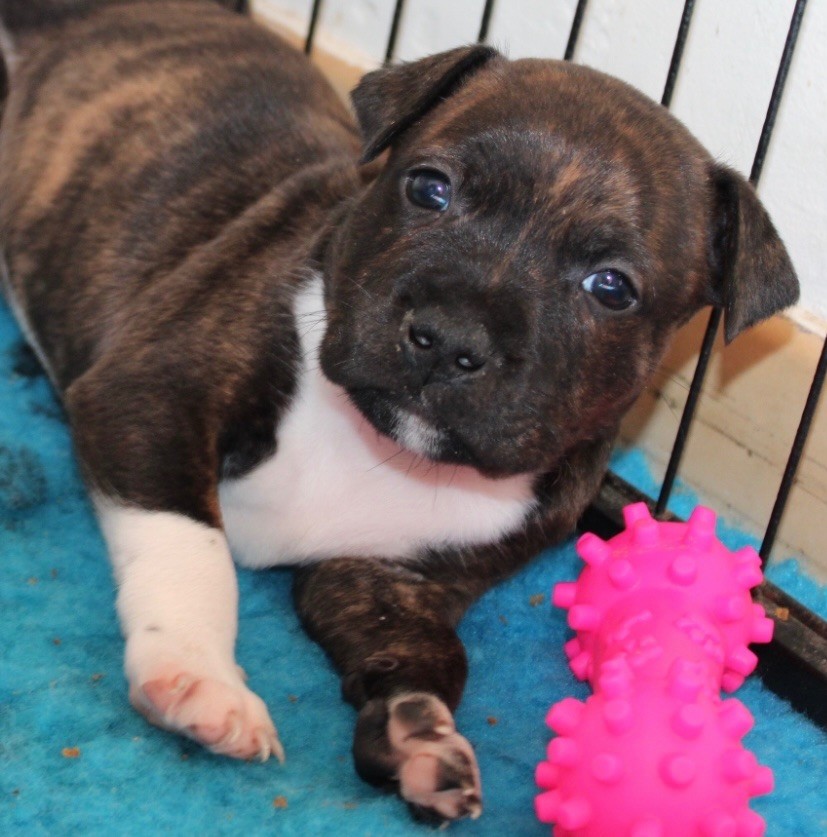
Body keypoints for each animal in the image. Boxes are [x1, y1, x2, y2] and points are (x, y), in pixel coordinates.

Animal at [0, 0, 798, 823]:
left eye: (610, 287)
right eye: (429, 189)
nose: (449, 337)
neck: (382, 441)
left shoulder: (384, 577)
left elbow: (427, 652)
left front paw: (419, 734)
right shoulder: (152, 392)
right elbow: (193, 546)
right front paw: (200, 677)